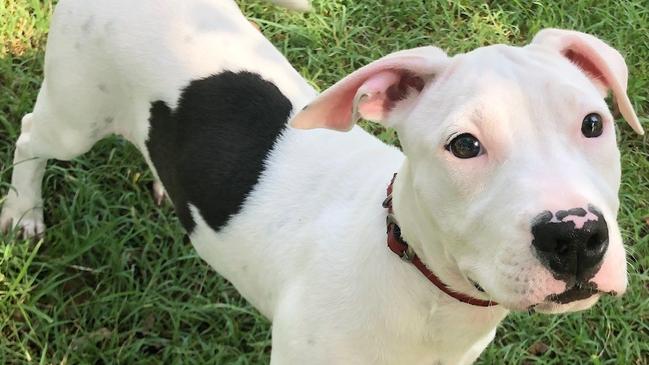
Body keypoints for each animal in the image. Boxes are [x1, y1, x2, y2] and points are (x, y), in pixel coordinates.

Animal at [0, 0, 644, 362]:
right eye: (464, 145)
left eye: (593, 124)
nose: (577, 237)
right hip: (74, 114)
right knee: (31, 136)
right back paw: (23, 211)